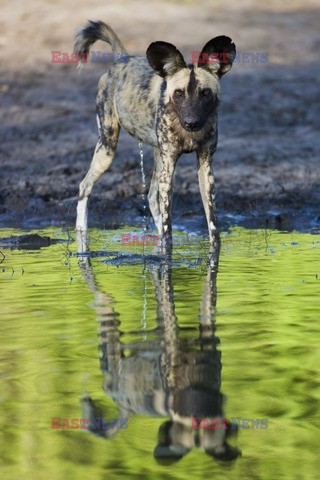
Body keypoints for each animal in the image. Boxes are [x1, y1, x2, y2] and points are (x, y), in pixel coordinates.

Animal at [75, 21, 235, 249]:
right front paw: (166, 252)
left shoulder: (205, 168)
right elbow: (168, 225)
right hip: (107, 150)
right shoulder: (169, 169)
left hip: (157, 156)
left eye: (205, 93)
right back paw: (81, 235)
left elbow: (212, 225)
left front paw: (215, 251)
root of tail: (123, 59)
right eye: (178, 93)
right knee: (84, 186)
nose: (191, 122)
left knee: (151, 197)